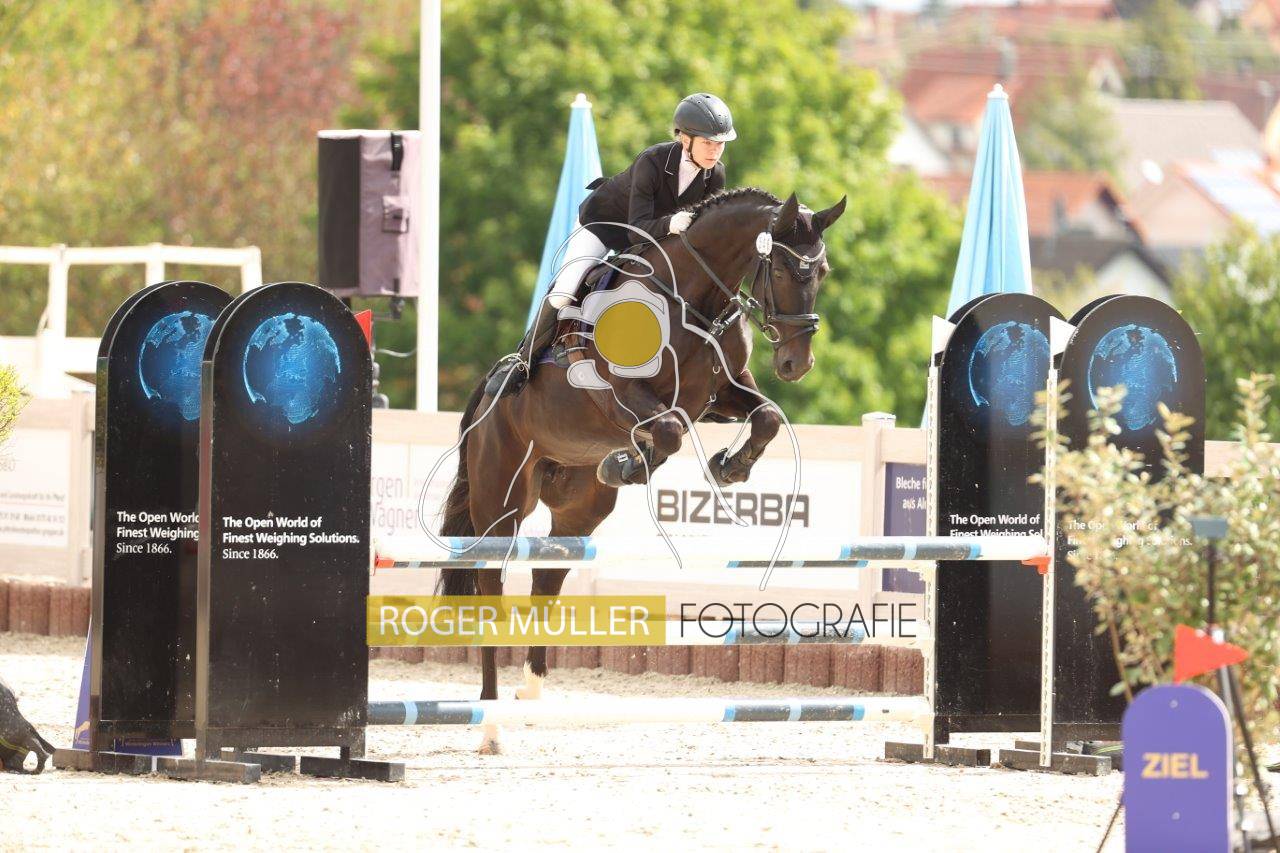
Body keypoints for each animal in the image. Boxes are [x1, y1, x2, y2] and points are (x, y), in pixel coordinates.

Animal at [437, 187, 846, 752]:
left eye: (822, 270)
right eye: (783, 270)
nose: (795, 364)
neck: (693, 301)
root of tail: (484, 395)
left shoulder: (721, 393)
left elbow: (764, 417)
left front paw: (728, 467)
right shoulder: (622, 391)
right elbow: (669, 429)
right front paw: (631, 462)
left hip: (577, 507)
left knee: (550, 573)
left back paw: (532, 689)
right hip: (500, 501)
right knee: (490, 588)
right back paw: (491, 726)